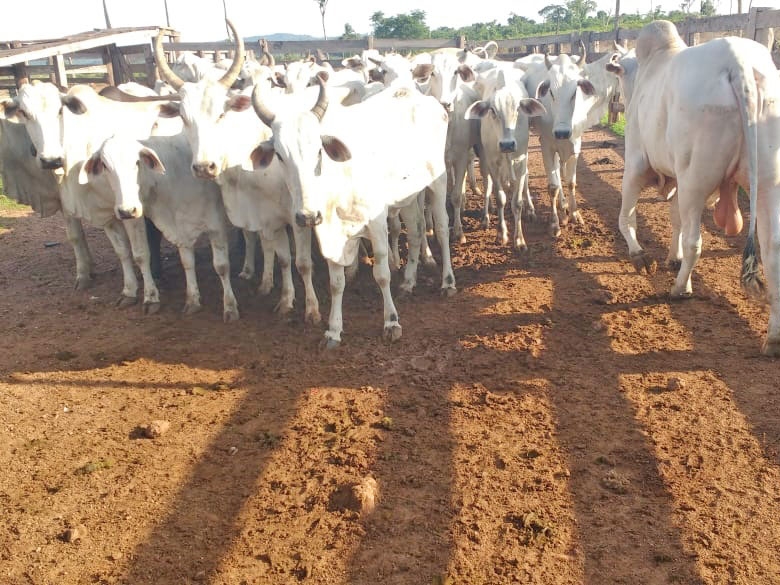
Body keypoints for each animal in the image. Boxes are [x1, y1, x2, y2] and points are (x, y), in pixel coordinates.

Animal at [250, 80, 458, 350]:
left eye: (319, 151)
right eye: (279, 155)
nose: (307, 216)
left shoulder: (377, 223)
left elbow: (382, 275)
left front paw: (391, 322)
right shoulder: (330, 233)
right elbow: (336, 283)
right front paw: (333, 330)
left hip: (438, 181)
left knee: (441, 229)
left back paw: (448, 282)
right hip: (409, 195)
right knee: (415, 231)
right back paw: (409, 282)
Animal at [466, 69, 544, 250]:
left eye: (518, 109)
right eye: (493, 110)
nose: (507, 144)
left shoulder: (521, 160)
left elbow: (517, 202)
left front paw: (519, 239)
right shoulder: (492, 162)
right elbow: (500, 197)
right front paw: (501, 233)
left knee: (525, 179)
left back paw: (530, 210)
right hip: (485, 159)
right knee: (488, 185)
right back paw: (486, 217)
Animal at [608, 19, 780, 356]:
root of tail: (738, 62)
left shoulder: (636, 162)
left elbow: (626, 217)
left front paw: (640, 257)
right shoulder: (675, 177)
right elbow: (674, 220)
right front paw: (670, 258)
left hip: (695, 180)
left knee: (694, 242)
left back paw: (680, 289)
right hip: (768, 183)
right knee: (773, 251)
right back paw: (774, 337)